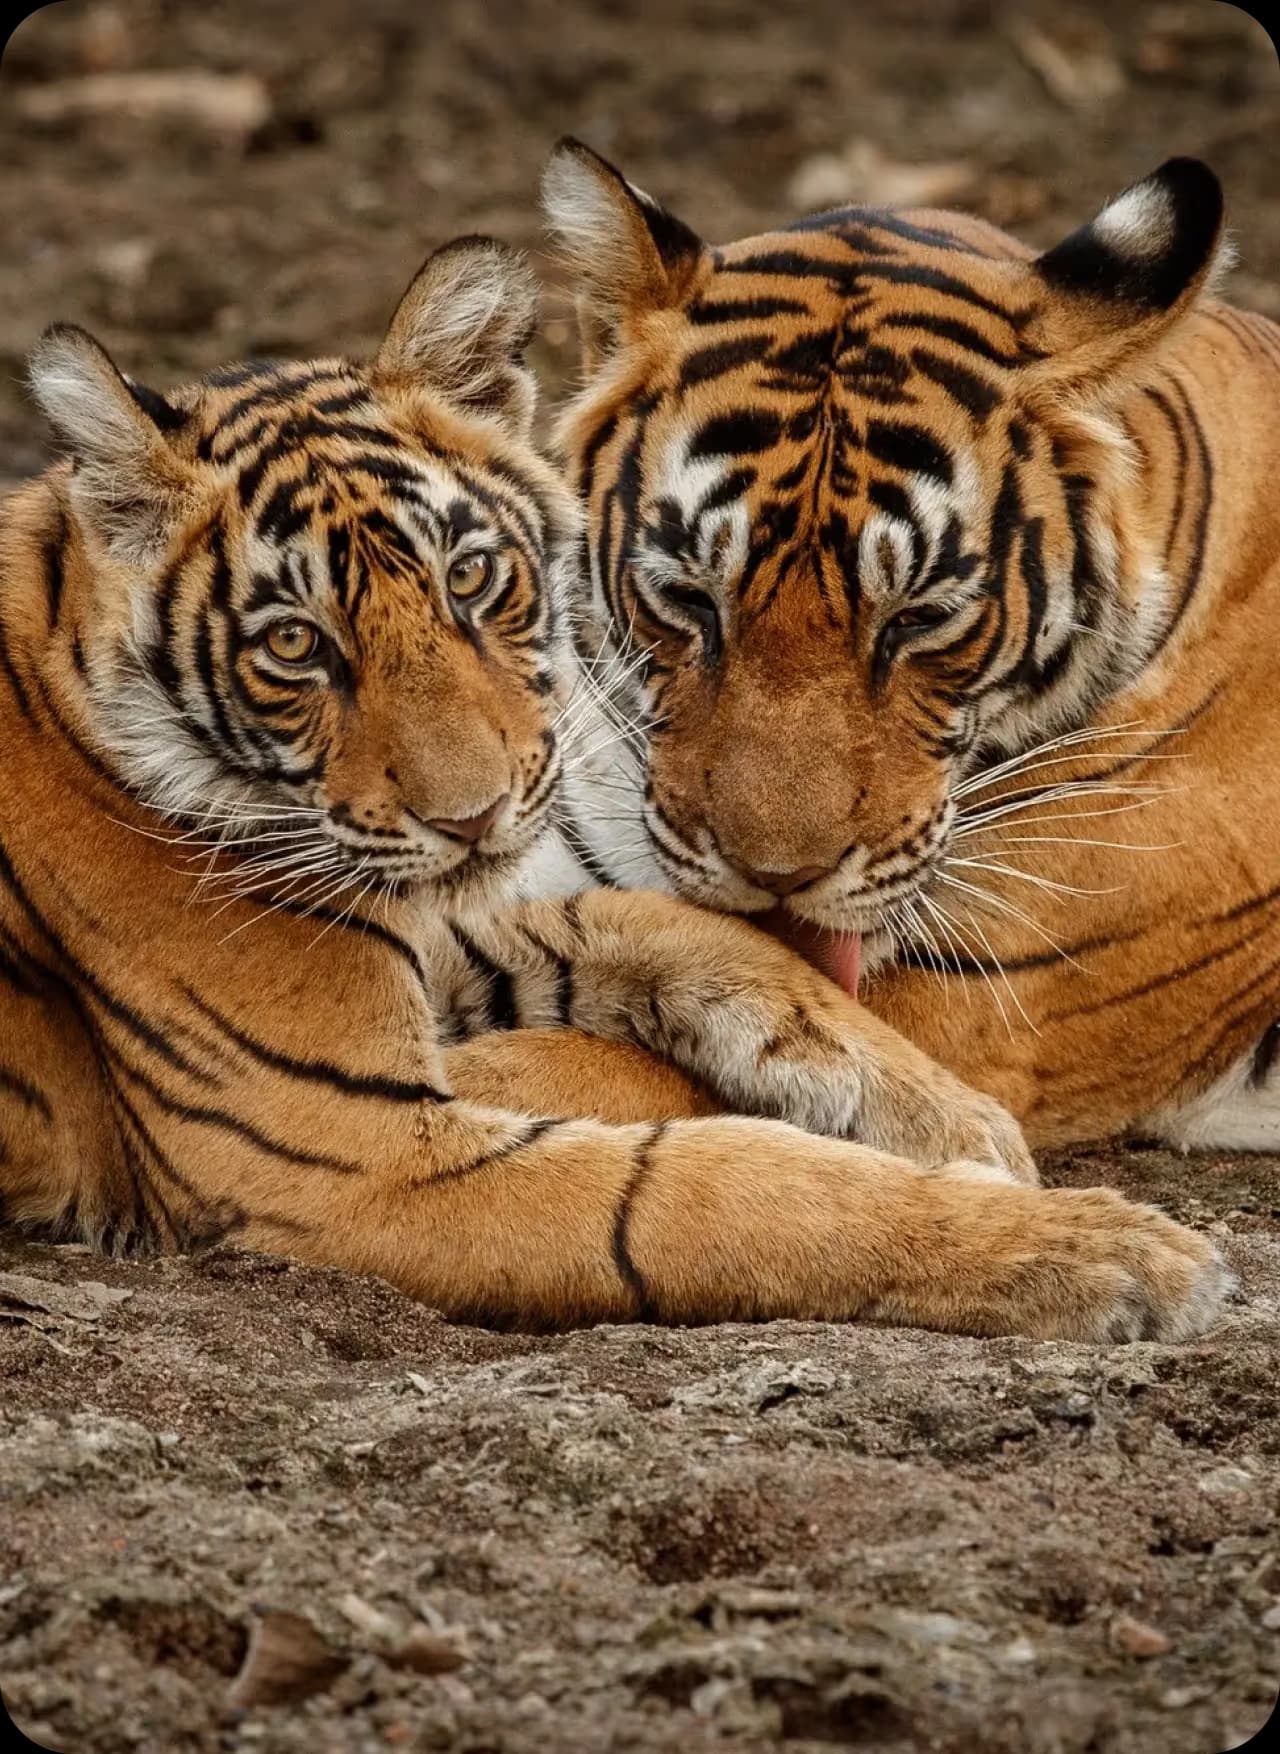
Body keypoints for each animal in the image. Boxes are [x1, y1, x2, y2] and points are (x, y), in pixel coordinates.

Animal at [0, 236, 1229, 1341]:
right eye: (295, 645)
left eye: (470, 576)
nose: (474, 815)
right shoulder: (344, 1149)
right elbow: (708, 1189)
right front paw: (1112, 1251)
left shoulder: (438, 926)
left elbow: (653, 920)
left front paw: (954, 1117)